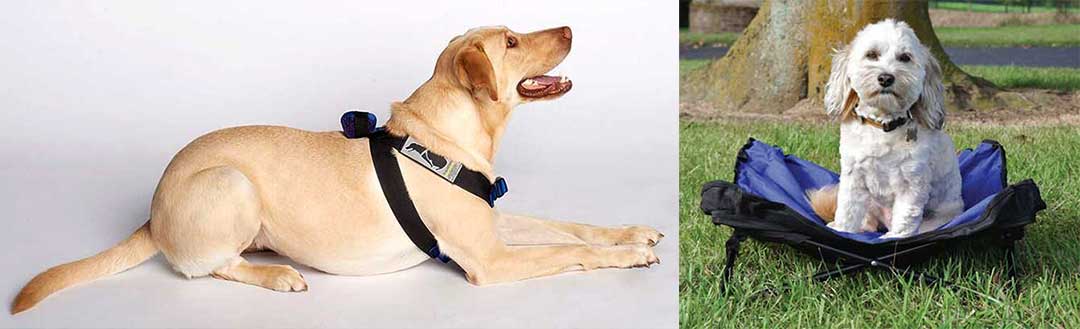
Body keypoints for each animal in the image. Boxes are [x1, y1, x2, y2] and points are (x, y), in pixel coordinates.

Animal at [12, 24, 660, 312]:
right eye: (512, 42)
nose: (571, 27)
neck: (442, 138)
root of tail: (152, 210)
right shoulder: (490, 260)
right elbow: (569, 250)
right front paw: (627, 256)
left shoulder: (495, 225)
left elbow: (570, 226)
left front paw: (632, 233)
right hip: (231, 183)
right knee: (206, 267)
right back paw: (277, 275)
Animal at [812, 19, 963, 237]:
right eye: (871, 54)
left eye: (905, 57)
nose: (885, 78)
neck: (882, 126)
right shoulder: (853, 177)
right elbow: (848, 210)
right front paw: (842, 230)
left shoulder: (912, 183)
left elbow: (905, 218)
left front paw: (894, 238)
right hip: (871, 206)